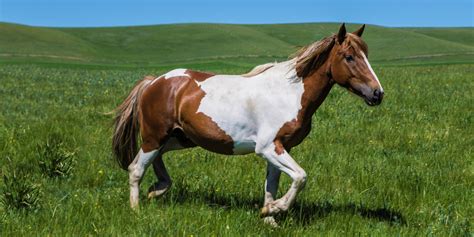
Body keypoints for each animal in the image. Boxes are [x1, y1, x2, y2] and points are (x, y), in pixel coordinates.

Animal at [112, 23, 386, 225]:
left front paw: (269, 218)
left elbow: (272, 185)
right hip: (155, 136)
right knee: (136, 168)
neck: (289, 93)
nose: (377, 93)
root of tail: (154, 81)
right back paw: (136, 210)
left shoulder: (281, 147)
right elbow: (300, 177)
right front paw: (274, 210)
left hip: (179, 138)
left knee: (154, 160)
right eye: (349, 57)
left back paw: (157, 190)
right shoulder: (268, 147)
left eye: (366, 55)